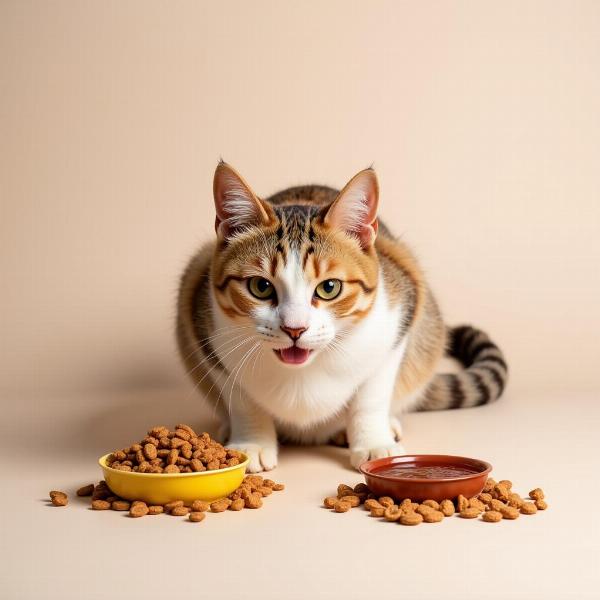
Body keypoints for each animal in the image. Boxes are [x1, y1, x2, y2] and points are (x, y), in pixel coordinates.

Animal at [176, 163, 508, 474]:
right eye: (261, 287)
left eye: (329, 288)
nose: (294, 328)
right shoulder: (202, 323)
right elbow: (242, 400)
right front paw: (252, 443)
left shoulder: (400, 316)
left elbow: (371, 395)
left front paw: (373, 442)